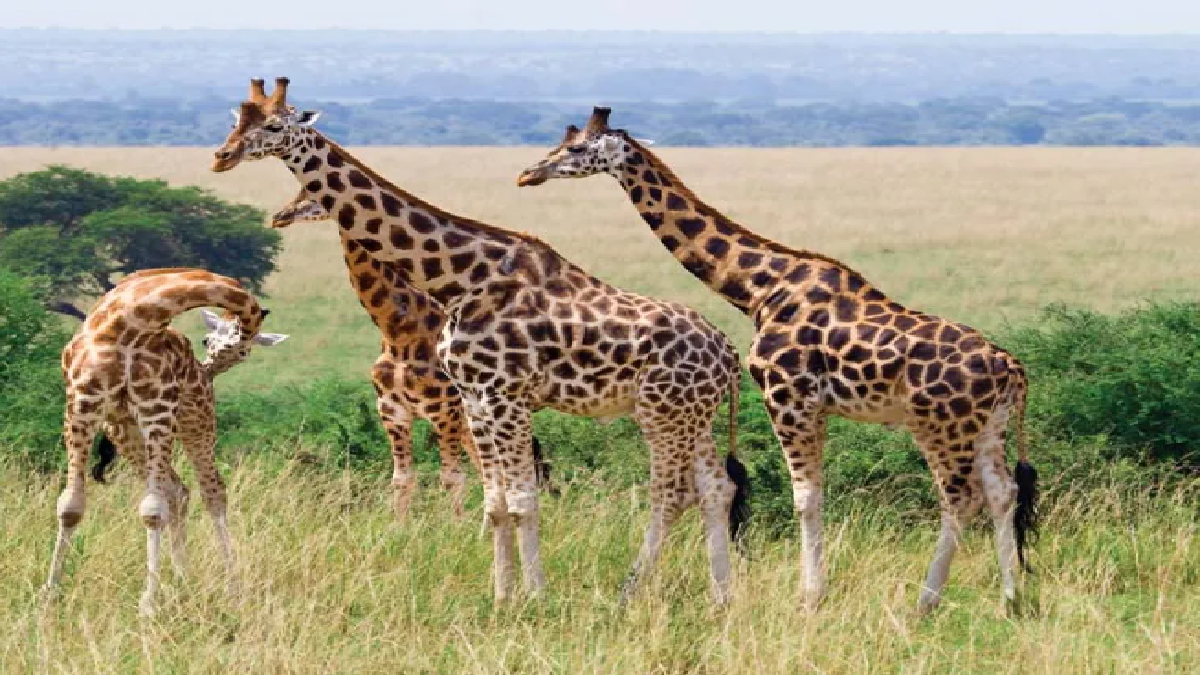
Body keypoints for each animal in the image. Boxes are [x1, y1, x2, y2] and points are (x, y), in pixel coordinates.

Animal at [44, 268, 287, 617]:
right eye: (206, 340)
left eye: (245, 352)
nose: (208, 371)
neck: (135, 322)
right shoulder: (82, 405)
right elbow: (70, 506)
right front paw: (49, 596)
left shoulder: (156, 411)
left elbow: (152, 511)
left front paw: (147, 605)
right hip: (125, 431)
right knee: (178, 490)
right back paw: (182, 581)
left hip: (194, 421)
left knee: (212, 492)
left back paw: (232, 589)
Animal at [270, 190, 554, 518]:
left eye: (311, 195)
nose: (279, 217)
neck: (397, 331)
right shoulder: (392, 410)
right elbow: (402, 479)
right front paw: (398, 527)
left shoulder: (443, 410)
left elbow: (451, 477)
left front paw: (456, 526)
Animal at [516, 107, 1040, 615]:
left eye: (576, 148)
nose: (528, 173)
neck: (759, 288)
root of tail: (1012, 370)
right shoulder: (815, 407)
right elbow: (814, 494)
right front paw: (812, 593)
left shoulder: (787, 398)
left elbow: (804, 498)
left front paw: (809, 599)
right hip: (987, 427)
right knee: (1002, 492)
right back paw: (1010, 600)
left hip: (939, 425)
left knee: (960, 499)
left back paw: (924, 603)